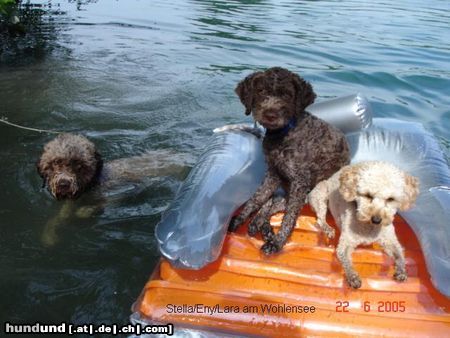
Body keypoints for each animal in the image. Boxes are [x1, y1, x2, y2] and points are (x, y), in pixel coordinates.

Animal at [229, 67, 352, 254]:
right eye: (261, 91)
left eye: (287, 95)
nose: (270, 114)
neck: (283, 134)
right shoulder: (273, 174)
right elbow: (256, 199)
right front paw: (239, 220)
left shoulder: (299, 182)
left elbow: (290, 216)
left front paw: (277, 242)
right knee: (273, 204)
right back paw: (260, 224)